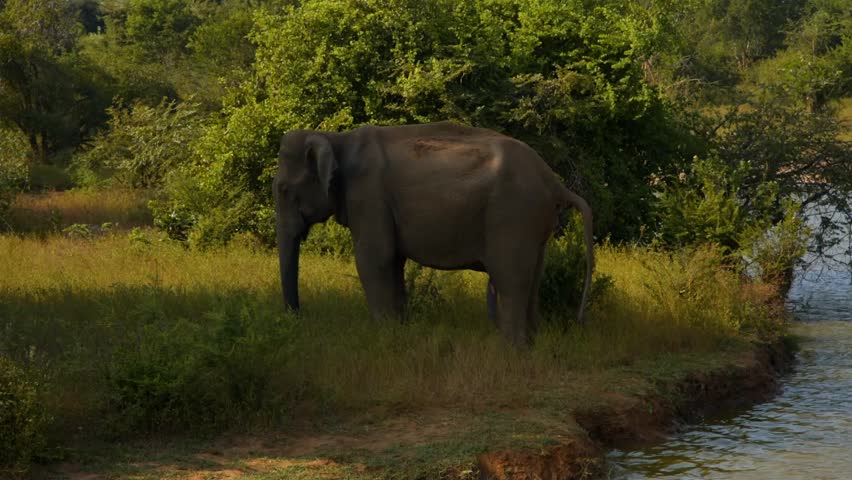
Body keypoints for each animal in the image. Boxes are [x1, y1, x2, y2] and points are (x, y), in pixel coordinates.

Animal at [274, 121, 594, 346]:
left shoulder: (368, 196)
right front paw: (399, 332)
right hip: (535, 224)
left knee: (510, 277)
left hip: (514, 215)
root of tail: (554, 182)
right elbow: (393, 262)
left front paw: (384, 338)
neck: (336, 137)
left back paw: (511, 349)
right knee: (533, 277)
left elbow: (373, 260)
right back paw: (530, 345)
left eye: (284, 189)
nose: (298, 319)